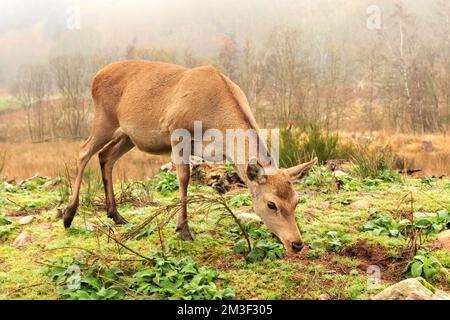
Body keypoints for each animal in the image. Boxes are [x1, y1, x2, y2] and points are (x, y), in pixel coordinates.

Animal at [62, 60, 316, 255]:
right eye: (271, 203)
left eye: (296, 200)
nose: (296, 243)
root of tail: (95, 77)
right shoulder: (177, 133)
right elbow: (183, 178)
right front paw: (183, 230)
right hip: (104, 118)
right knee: (83, 152)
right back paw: (68, 214)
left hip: (129, 135)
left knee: (106, 156)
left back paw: (116, 215)